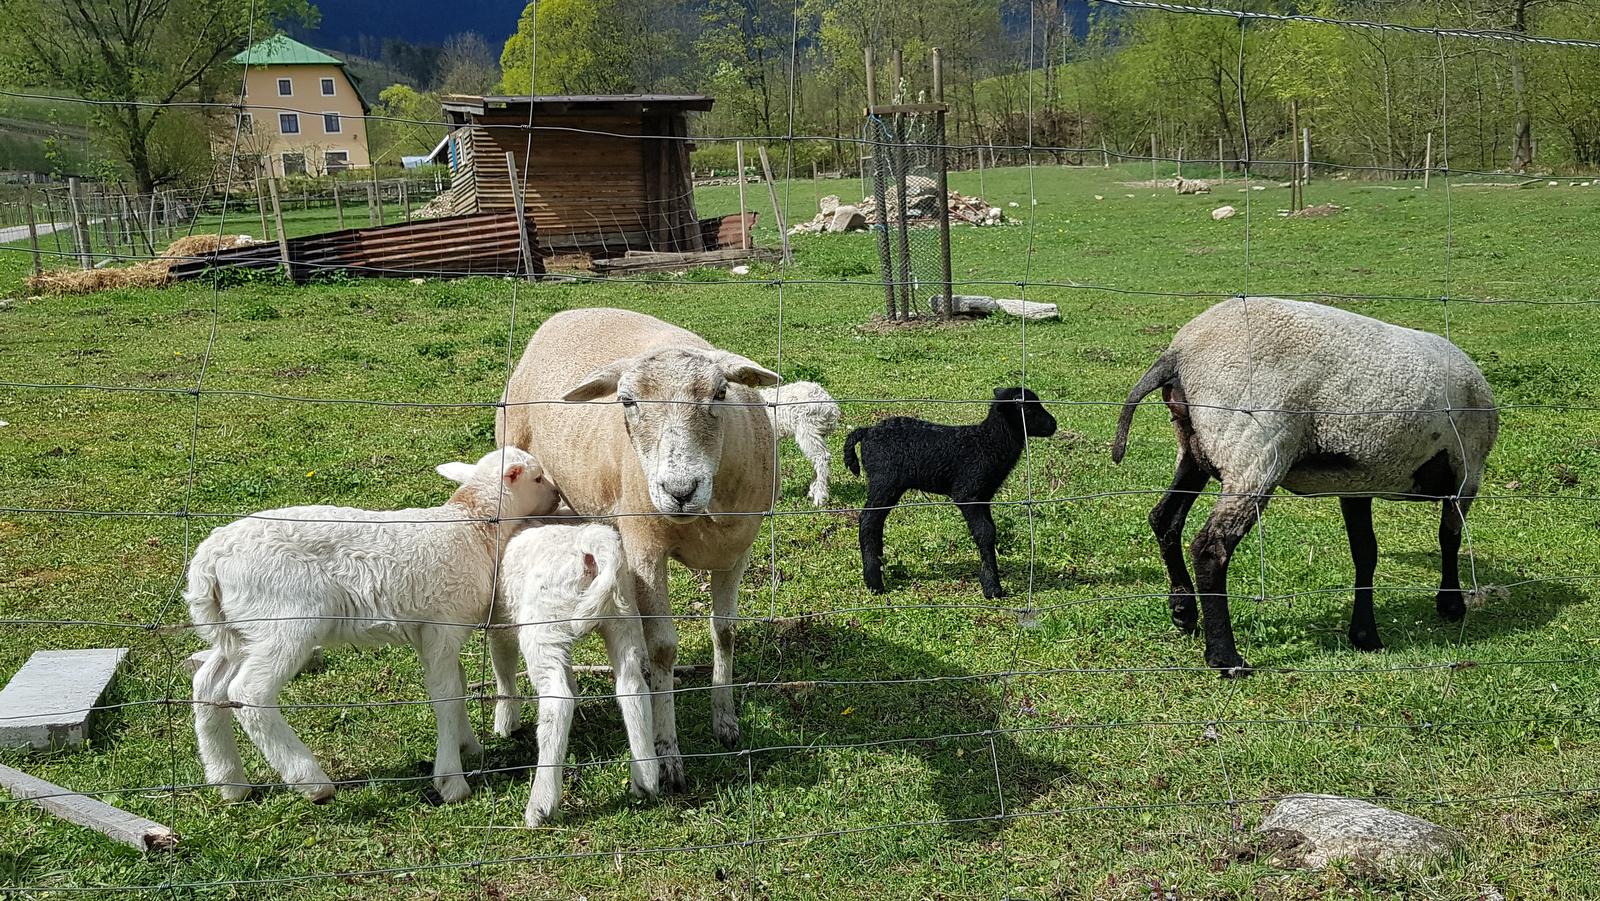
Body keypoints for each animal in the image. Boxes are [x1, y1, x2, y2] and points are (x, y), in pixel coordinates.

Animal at [186, 448, 560, 803]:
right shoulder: (441, 624)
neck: (472, 525)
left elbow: (459, 683)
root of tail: (209, 559)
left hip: (239, 629)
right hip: (283, 620)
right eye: (538, 478)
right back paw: (312, 782)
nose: (557, 497)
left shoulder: (436, 632)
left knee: (208, 686)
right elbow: (447, 693)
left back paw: (229, 782)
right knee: (249, 693)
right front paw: (451, 780)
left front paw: (467, 745)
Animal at [497, 308, 779, 793]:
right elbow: (664, 646)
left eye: (721, 393)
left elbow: (724, 633)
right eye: (626, 401)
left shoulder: (736, 551)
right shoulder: (646, 548)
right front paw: (667, 755)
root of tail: (570, 312)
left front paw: (725, 720)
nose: (680, 490)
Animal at [843, 386, 1058, 599]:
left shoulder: (983, 497)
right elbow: (985, 532)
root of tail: (867, 431)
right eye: (1028, 409)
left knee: (876, 522)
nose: (1053, 425)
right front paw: (992, 588)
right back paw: (874, 582)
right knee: (868, 521)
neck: (988, 443)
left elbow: (990, 530)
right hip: (884, 480)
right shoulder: (967, 493)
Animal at [1111, 297, 1499, 676]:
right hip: (1254, 448)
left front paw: (1365, 634)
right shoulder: (1468, 471)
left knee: (1165, 519)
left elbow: (1365, 553)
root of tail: (1179, 353)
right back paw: (1226, 658)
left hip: (1195, 446)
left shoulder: (1356, 482)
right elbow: (1450, 538)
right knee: (1211, 547)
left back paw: (1184, 611)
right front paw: (1450, 603)